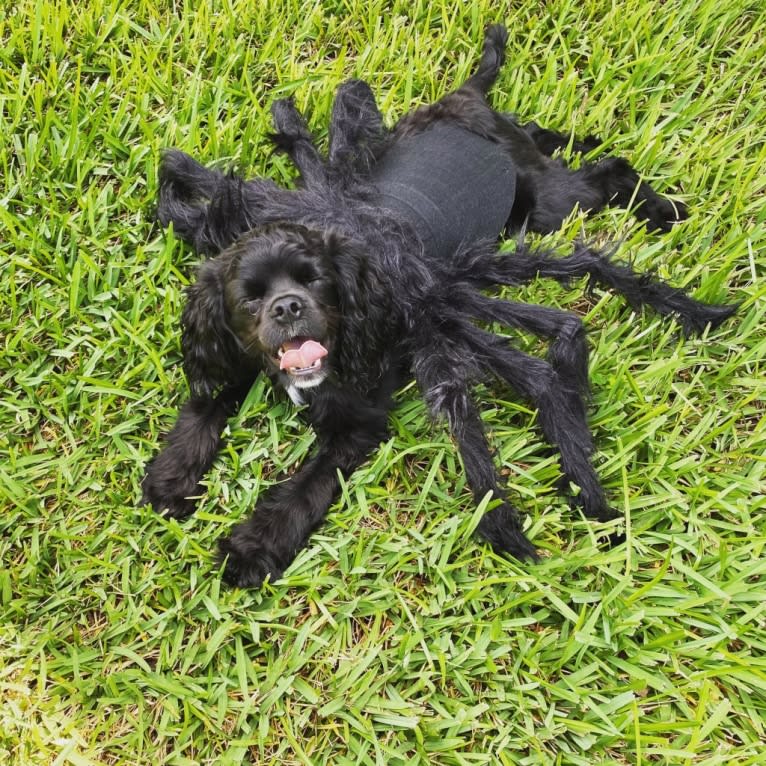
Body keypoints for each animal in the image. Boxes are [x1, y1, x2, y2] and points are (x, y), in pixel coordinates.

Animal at [141, 24, 736, 588]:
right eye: (251, 296)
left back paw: (667, 218)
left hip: (551, 204)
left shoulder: (361, 418)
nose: (288, 308)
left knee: (609, 170)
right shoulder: (238, 350)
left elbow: (312, 482)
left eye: (317, 281)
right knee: (557, 140)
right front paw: (171, 477)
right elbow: (206, 403)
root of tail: (466, 95)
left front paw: (253, 549)